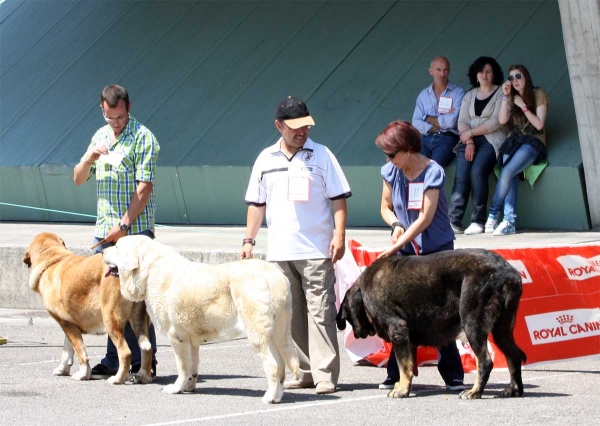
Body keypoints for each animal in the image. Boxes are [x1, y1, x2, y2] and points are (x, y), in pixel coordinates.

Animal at [22, 231, 155, 384]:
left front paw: (83, 374)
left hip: (110, 319)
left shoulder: (66, 324)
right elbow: (67, 350)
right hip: (138, 320)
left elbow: (81, 352)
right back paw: (143, 376)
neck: (52, 260)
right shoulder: (68, 324)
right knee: (147, 349)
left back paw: (117, 379)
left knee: (125, 352)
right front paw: (63, 369)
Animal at [103, 233, 302, 402]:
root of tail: (275, 276)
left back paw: (270, 397)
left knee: (273, 365)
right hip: (278, 333)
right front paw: (188, 387)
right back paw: (278, 395)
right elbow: (192, 367)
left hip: (258, 334)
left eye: (117, 247)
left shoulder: (177, 336)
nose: (103, 251)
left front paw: (176, 388)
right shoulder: (192, 341)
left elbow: (182, 367)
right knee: (282, 366)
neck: (150, 269)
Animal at [338, 248, 524, 402]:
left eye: (348, 319)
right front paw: (402, 386)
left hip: (472, 324)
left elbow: (403, 366)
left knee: (485, 362)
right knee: (513, 355)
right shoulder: (407, 339)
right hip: (502, 330)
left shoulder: (398, 330)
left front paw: (401, 390)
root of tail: (507, 272)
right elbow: (407, 365)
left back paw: (475, 392)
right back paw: (513, 390)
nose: (356, 334)